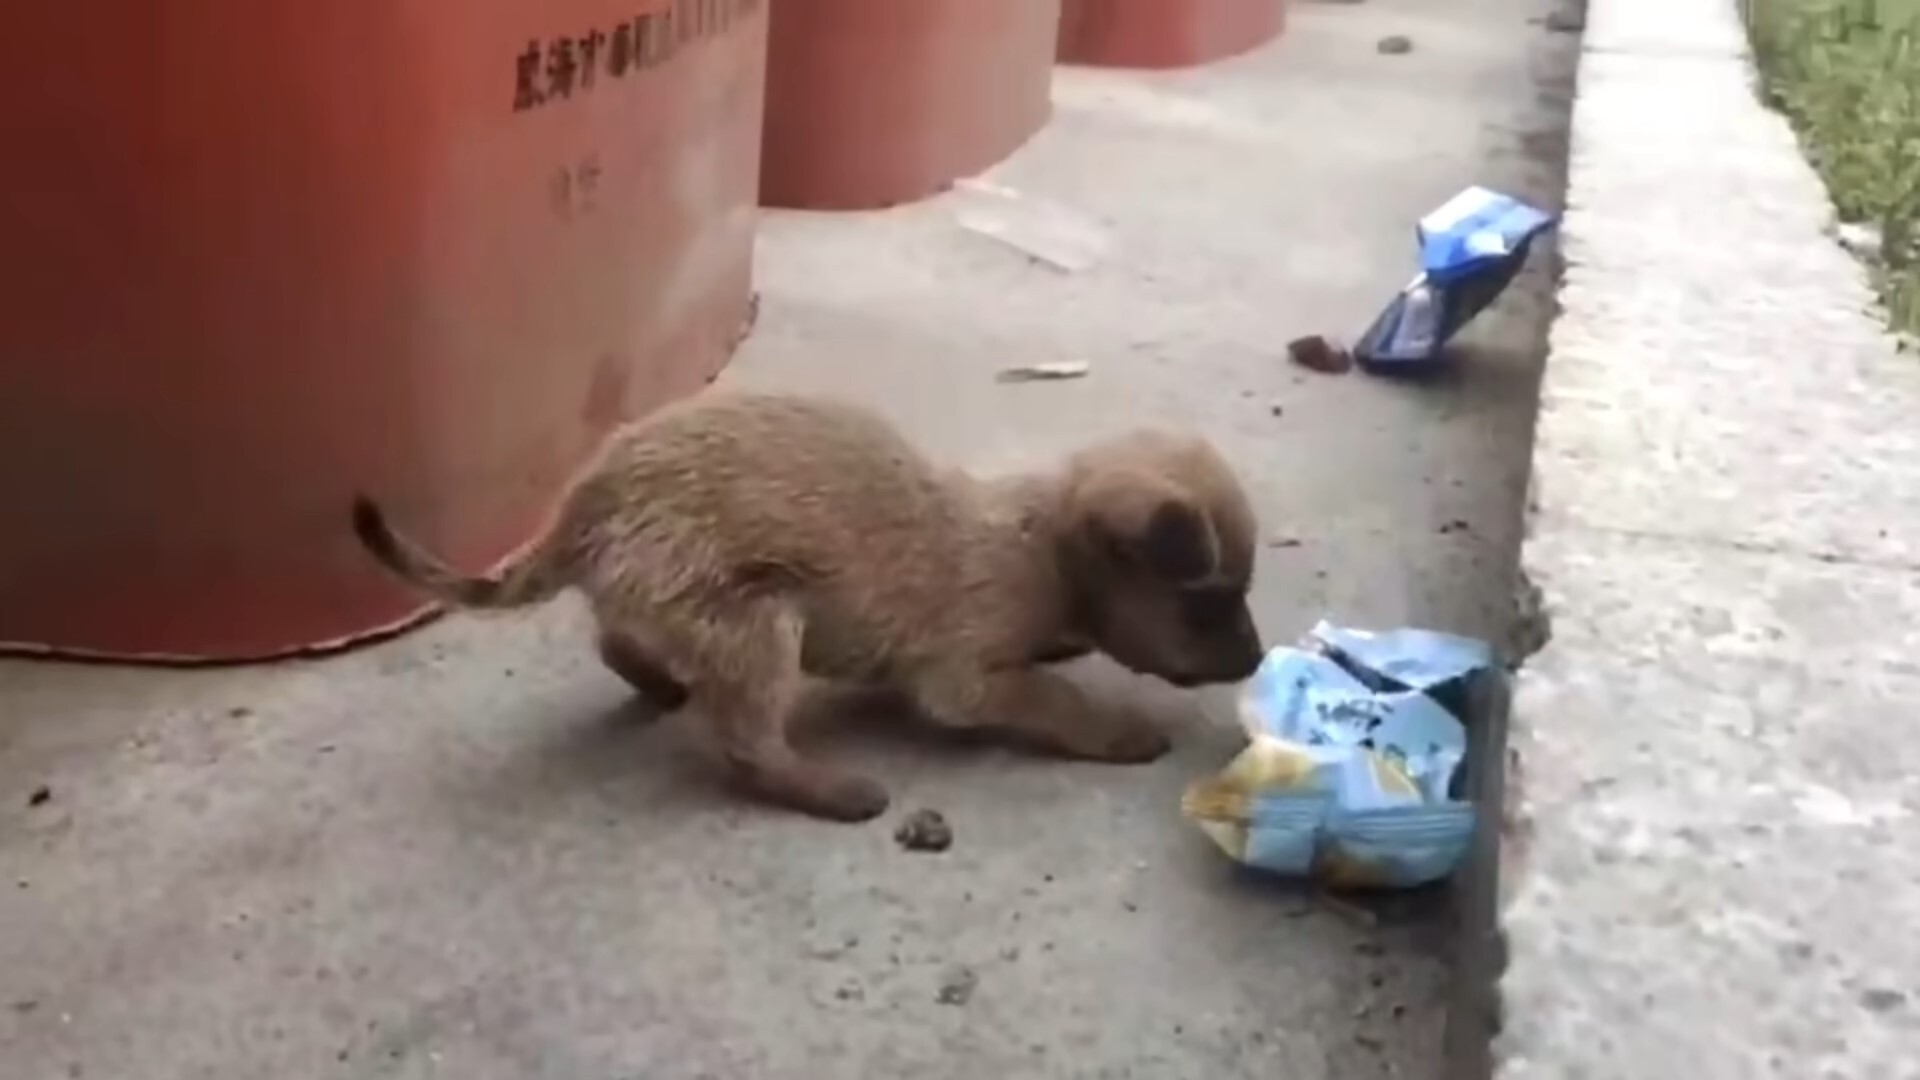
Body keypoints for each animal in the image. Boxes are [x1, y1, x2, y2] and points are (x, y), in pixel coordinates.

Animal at [353, 390, 1267, 818]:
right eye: (1211, 603)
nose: (1259, 659)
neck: (1043, 545)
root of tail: (587, 503)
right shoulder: (967, 679)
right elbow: (1055, 697)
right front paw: (1117, 730)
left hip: (682, 603)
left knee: (621, 643)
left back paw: (662, 683)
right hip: (759, 618)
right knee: (749, 744)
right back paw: (829, 789)